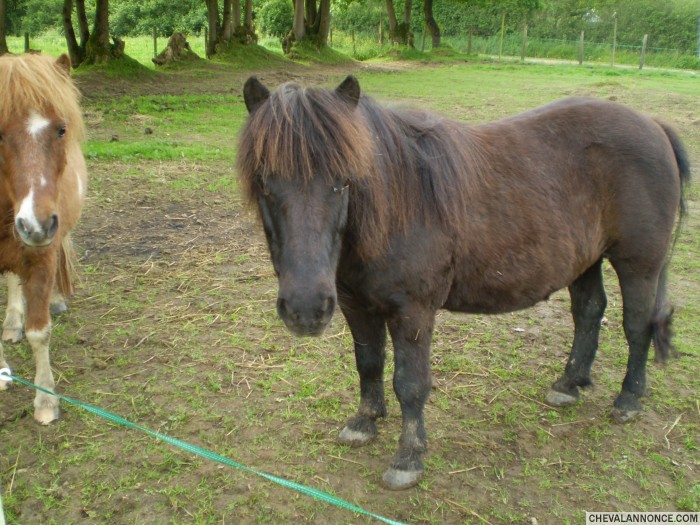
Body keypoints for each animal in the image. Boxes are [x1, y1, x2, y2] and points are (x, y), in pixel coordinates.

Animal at [235, 75, 688, 490]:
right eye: (264, 182)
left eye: (343, 180)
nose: (304, 308)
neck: (398, 202)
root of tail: (653, 126)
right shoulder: (354, 304)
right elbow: (368, 363)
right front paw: (364, 422)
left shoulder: (413, 313)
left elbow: (410, 384)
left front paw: (408, 458)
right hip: (584, 261)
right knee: (589, 313)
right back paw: (568, 385)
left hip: (639, 265)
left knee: (637, 326)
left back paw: (628, 399)